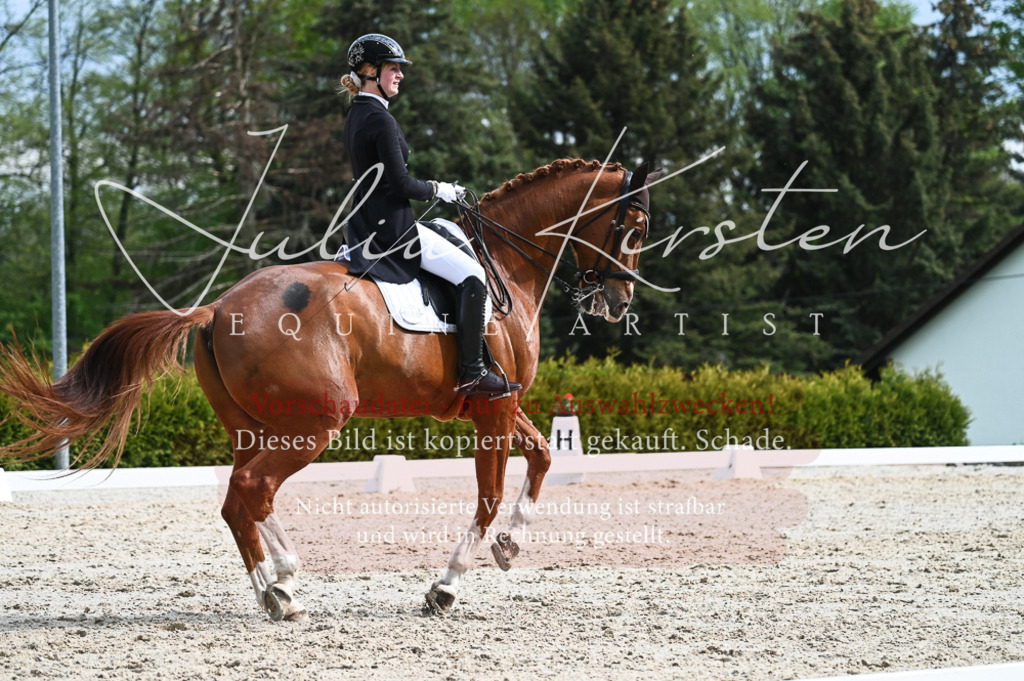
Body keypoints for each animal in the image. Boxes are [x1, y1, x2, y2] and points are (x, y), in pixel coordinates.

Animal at [0, 158, 659, 621]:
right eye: (635, 227)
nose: (618, 301)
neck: (504, 262)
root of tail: (216, 310)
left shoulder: (501, 400)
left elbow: (544, 455)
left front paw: (509, 547)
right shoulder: (494, 404)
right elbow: (488, 495)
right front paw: (445, 587)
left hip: (254, 426)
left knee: (239, 499)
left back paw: (276, 589)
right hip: (317, 421)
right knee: (254, 490)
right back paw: (285, 585)